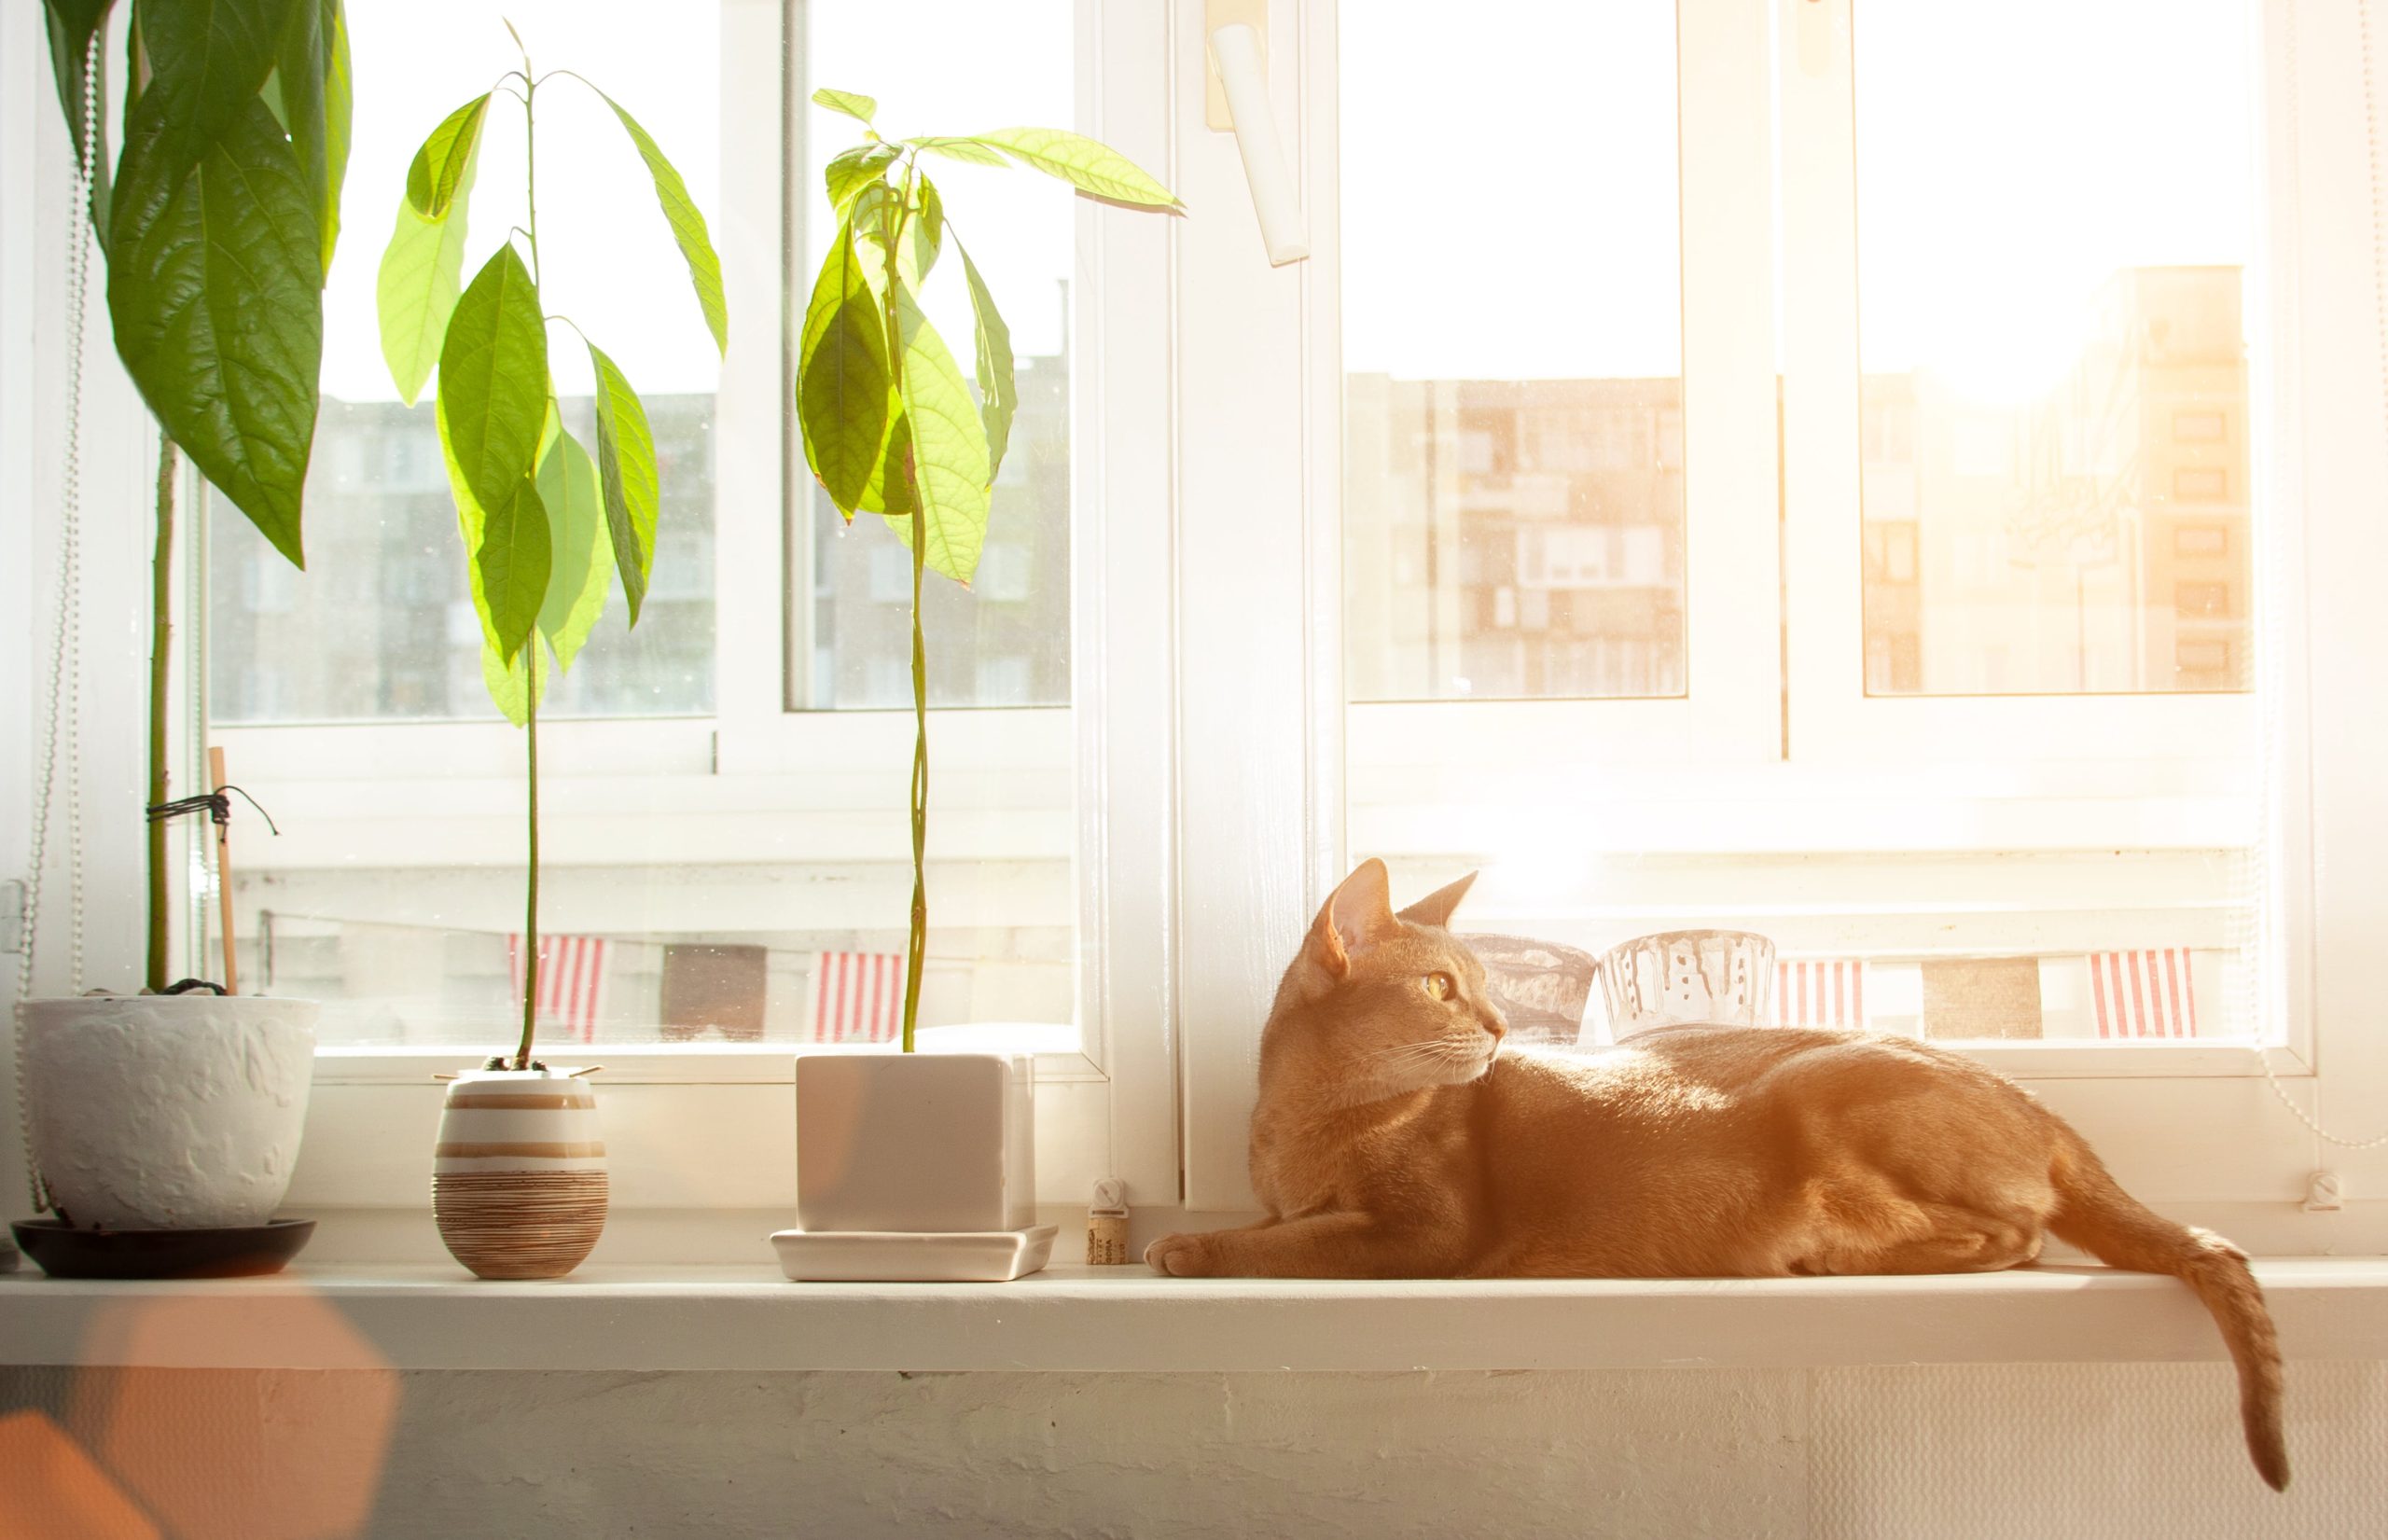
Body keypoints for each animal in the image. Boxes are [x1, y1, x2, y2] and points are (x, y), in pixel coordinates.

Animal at [1145, 859, 2283, 1480]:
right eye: (1439, 985)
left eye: (1482, 985)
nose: (1503, 1027)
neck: (1298, 1118)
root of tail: (2040, 1105)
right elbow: (1282, 1225)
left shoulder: (1420, 1232)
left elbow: (1283, 1243)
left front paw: (1183, 1246)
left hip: (1825, 1090)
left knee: (2017, 1238)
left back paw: (1834, 1259)